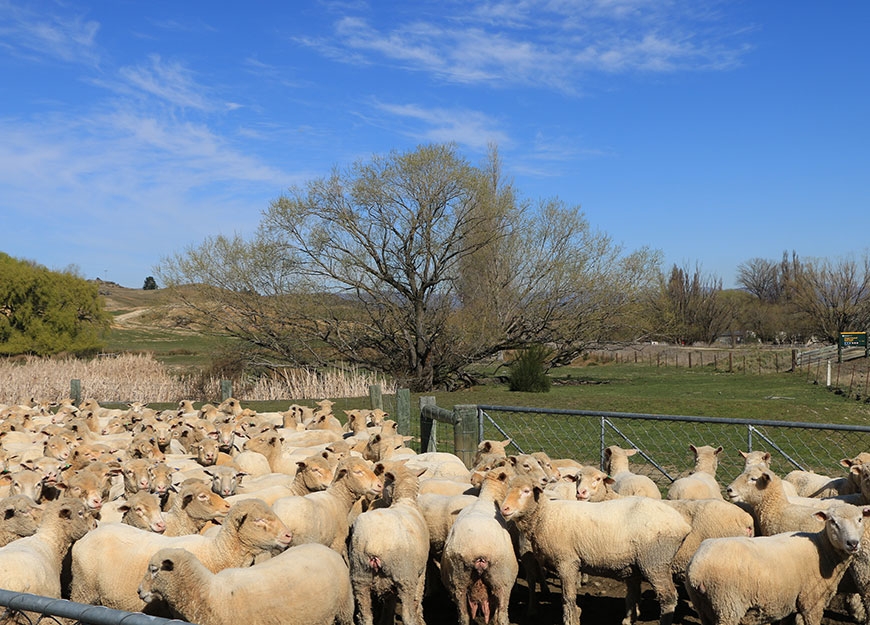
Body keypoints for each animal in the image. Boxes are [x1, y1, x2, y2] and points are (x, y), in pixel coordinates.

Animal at [684, 502, 868, 624]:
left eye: (860, 519)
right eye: (833, 521)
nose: (853, 543)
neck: (823, 551)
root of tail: (696, 569)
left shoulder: (790, 600)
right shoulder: (812, 602)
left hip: (703, 606)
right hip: (727, 604)